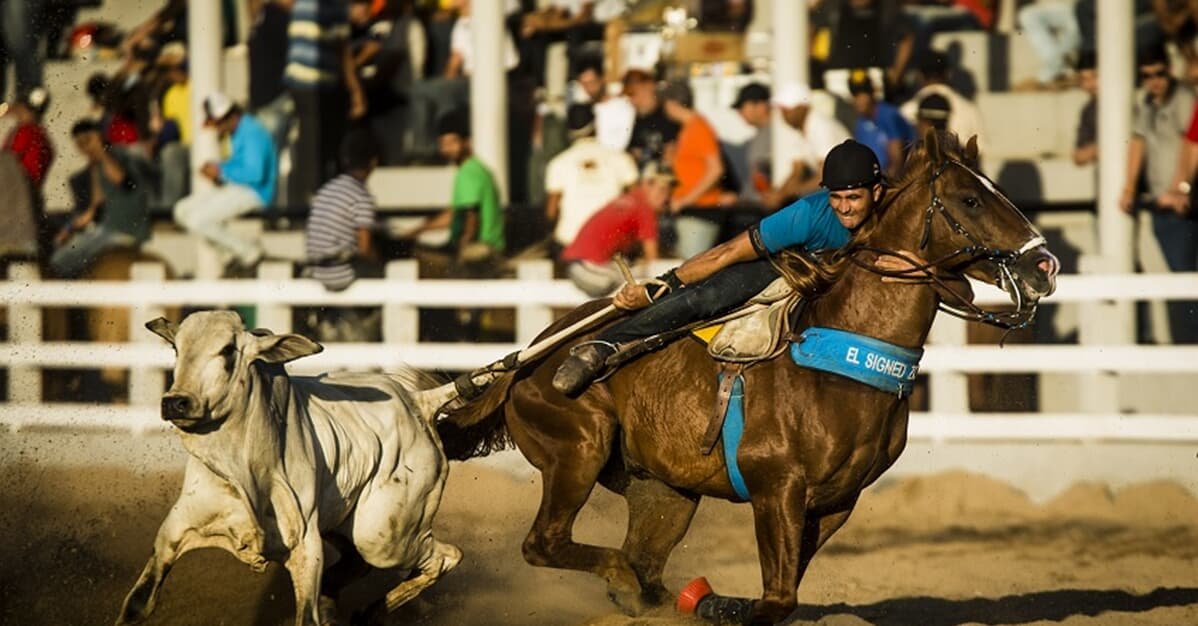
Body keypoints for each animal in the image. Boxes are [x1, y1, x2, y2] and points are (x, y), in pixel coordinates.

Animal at [118, 313, 462, 626]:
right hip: (347, 525)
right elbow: (137, 604)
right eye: (176, 347)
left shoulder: (305, 548)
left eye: (228, 350)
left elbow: (306, 616)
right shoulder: (176, 529)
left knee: (445, 557)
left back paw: (371, 610)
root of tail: (418, 401)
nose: (175, 402)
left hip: (384, 537)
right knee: (358, 563)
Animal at [438, 131, 1059, 622]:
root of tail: (530, 357)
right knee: (549, 545)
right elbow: (776, 600)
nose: (1044, 265)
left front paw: (711, 603)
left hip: (664, 490)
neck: (840, 360)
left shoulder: (836, 502)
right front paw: (718, 605)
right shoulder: (776, 489)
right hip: (577, 450)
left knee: (639, 557)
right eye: (970, 199)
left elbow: (785, 596)